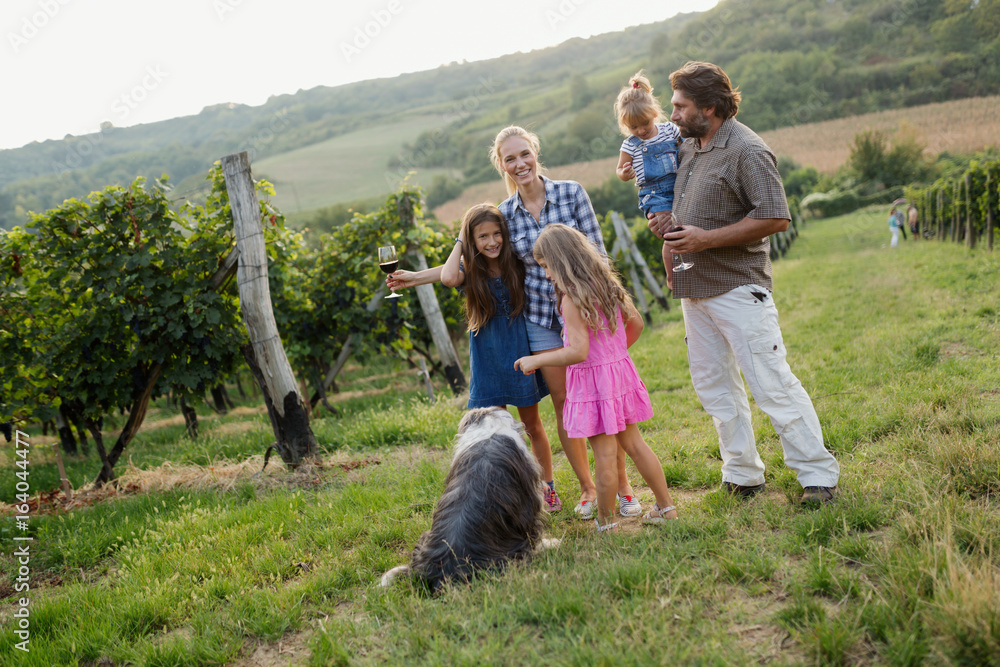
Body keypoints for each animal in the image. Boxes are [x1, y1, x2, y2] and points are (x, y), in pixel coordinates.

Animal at [380, 408, 556, 596]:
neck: (489, 433)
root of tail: (443, 572)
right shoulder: (529, 505)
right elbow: (535, 531)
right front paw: (549, 543)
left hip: (424, 538)